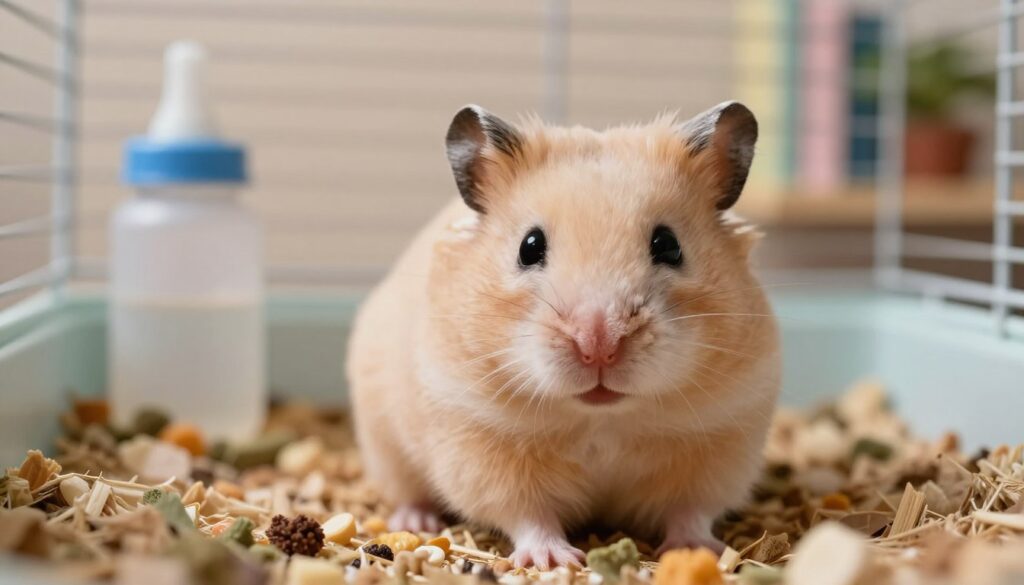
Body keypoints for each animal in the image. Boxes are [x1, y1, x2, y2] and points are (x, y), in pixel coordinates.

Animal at [346, 102, 780, 569]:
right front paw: (553, 561)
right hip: (385, 446)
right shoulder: (480, 441)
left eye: (668, 245)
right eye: (529, 246)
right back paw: (417, 520)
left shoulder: (722, 439)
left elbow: (691, 511)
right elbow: (527, 512)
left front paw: (694, 550)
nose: (599, 345)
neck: (602, 419)